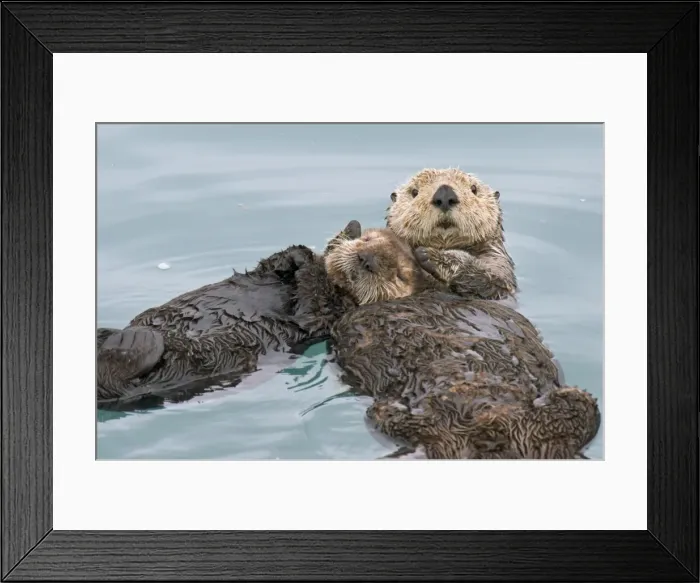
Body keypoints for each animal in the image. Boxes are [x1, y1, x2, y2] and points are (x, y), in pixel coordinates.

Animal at [323, 225, 600, 459]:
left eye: (399, 274)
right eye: (367, 240)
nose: (365, 259)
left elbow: (486, 281)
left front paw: (431, 256)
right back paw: (393, 410)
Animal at [386, 167, 517, 301]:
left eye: (474, 189)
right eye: (414, 192)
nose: (445, 194)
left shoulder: (498, 262)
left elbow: (490, 280)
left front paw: (430, 255)